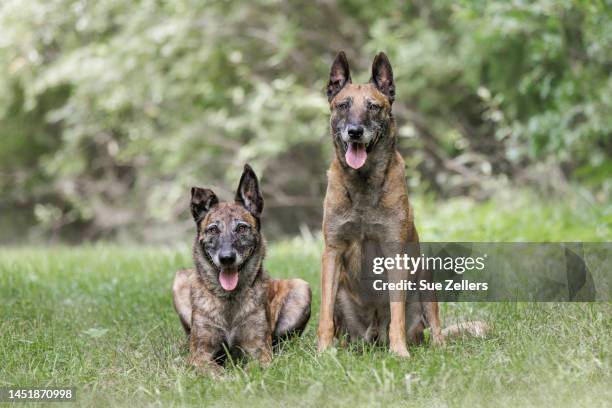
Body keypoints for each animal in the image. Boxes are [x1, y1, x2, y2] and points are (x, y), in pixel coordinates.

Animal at [175, 164, 314, 372]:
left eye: (241, 228)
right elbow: (214, 369)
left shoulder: (259, 352)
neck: (229, 298)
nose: (226, 259)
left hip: (301, 287)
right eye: (213, 229)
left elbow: (253, 367)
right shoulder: (200, 353)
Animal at [318, 51, 486, 356]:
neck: (363, 183)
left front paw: (399, 352)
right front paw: (323, 353)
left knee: (434, 327)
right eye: (343, 105)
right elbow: (324, 314)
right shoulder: (332, 253)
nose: (355, 131)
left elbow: (396, 312)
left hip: (424, 278)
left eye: (373, 107)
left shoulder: (395, 254)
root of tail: (373, 336)